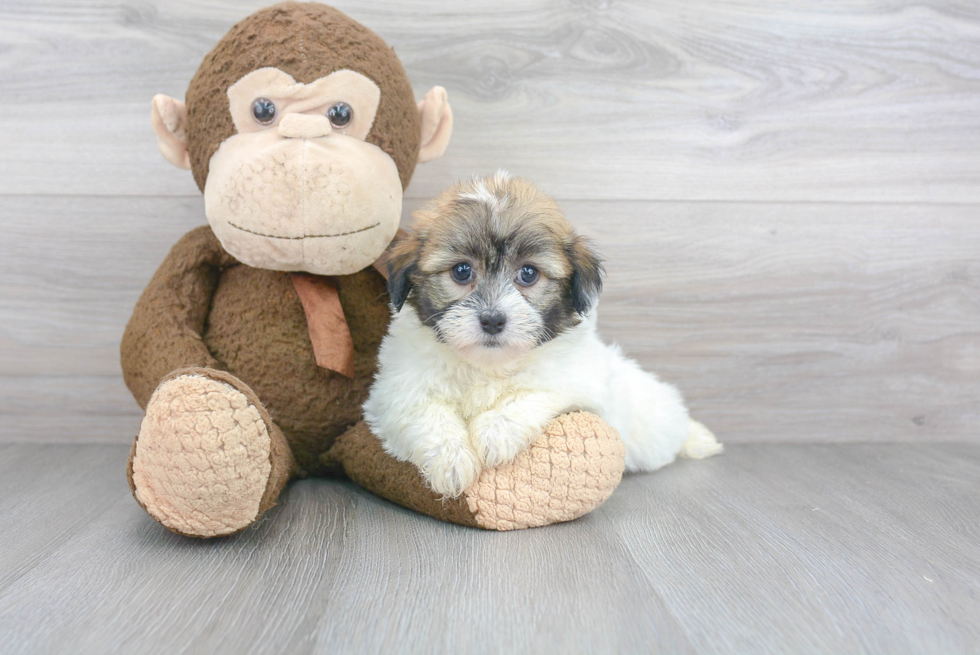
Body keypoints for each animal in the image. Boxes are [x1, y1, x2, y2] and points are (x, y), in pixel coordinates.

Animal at [362, 174, 720, 498]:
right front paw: (451, 462)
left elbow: (535, 393)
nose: (492, 320)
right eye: (462, 271)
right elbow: (426, 414)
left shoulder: (580, 383)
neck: (488, 365)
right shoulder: (393, 393)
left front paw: (494, 432)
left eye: (528, 273)